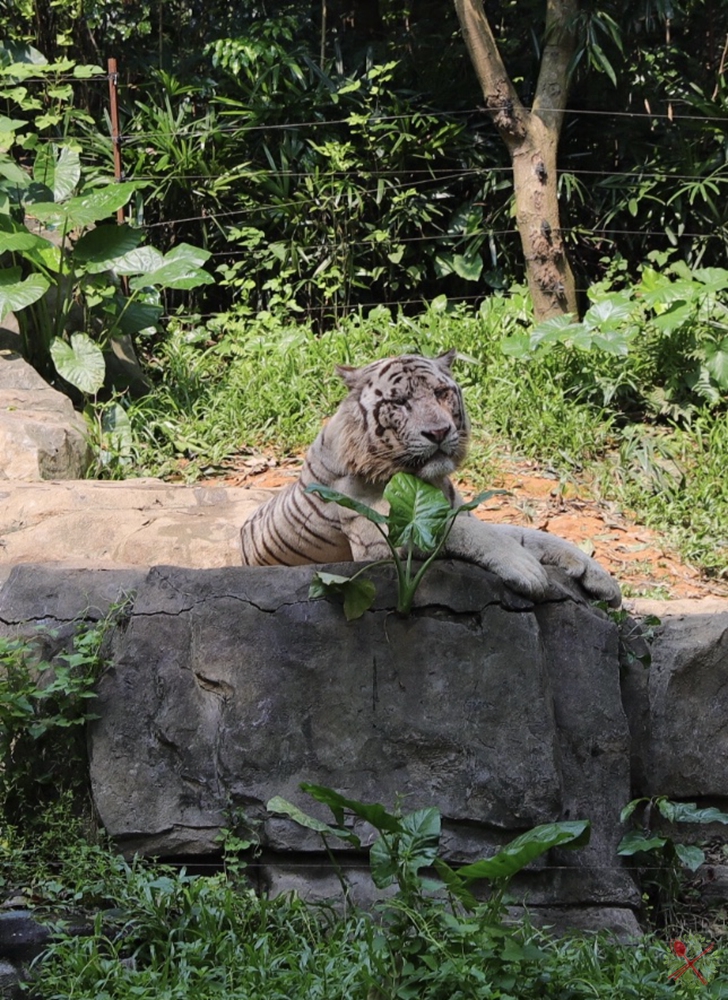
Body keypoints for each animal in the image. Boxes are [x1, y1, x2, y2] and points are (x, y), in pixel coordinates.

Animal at [242, 348, 624, 604]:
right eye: (399, 402)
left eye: (441, 393)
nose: (439, 432)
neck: (426, 483)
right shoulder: (384, 536)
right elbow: (467, 534)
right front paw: (527, 571)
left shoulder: (456, 509)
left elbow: (526, 534)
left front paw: (599, 576)